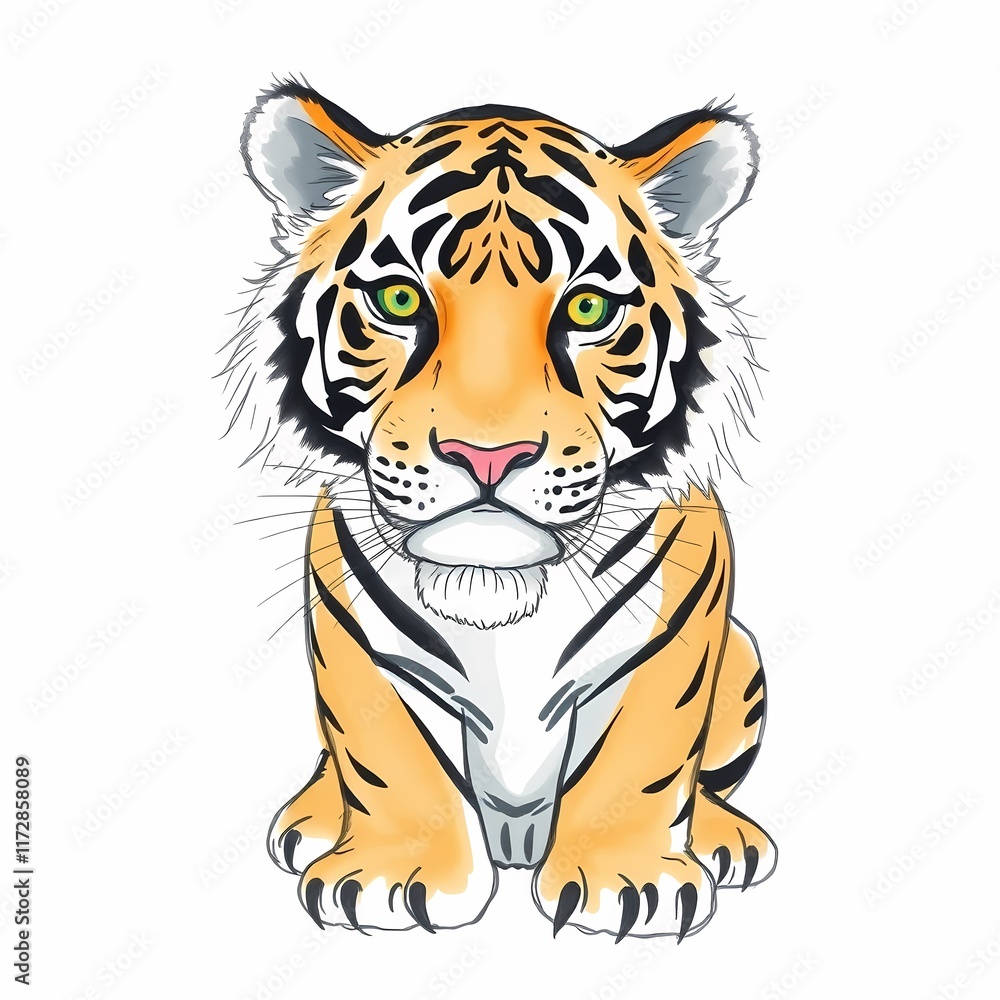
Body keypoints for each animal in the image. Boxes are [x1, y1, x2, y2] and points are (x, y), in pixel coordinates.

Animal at [224, 78, 776, 941]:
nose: (487, 455)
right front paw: (390, 876)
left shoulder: (678, 635)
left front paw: (629, 881)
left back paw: (726, 838)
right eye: (397, 299)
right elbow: (387, 754)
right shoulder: (354, 641)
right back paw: (312, 818)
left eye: (587, 312)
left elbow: (647, 752)